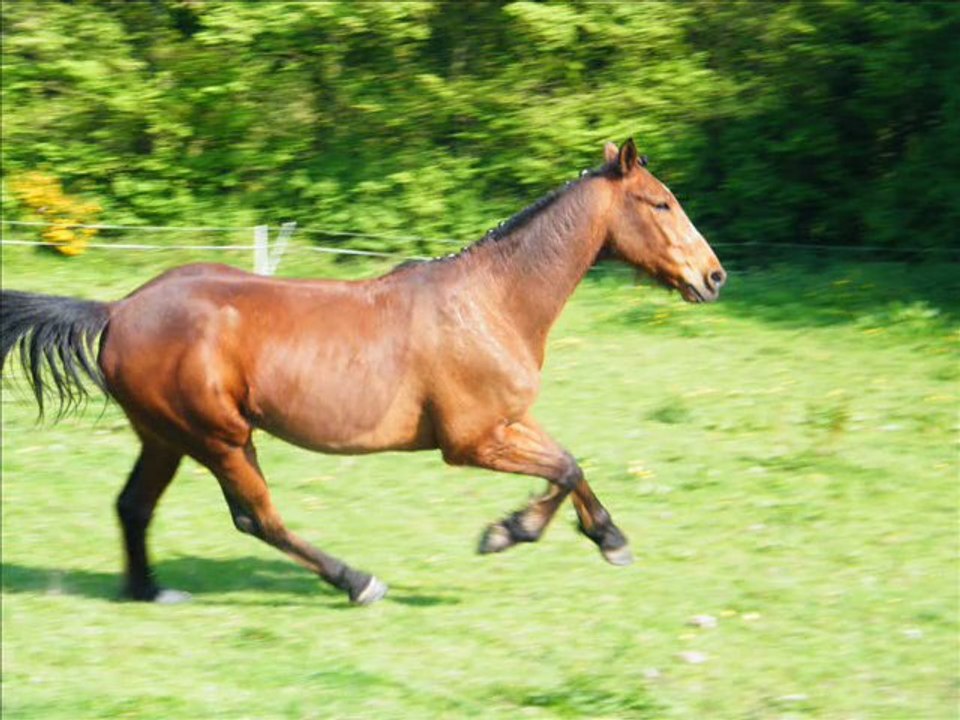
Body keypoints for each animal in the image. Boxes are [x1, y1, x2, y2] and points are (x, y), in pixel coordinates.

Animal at [1, 139, 725, 606]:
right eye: (661, 203)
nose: (713, 276)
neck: (492, 302)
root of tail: (119, 309)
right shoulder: (470, 441)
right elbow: (566, 467)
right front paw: (508, 534)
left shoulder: (506, 422)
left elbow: (571, 463)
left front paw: (607, 537)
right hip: (219, 437)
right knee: (257, 519)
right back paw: (358, 582)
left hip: (165, 438)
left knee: (133, 505)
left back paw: (149, 591)